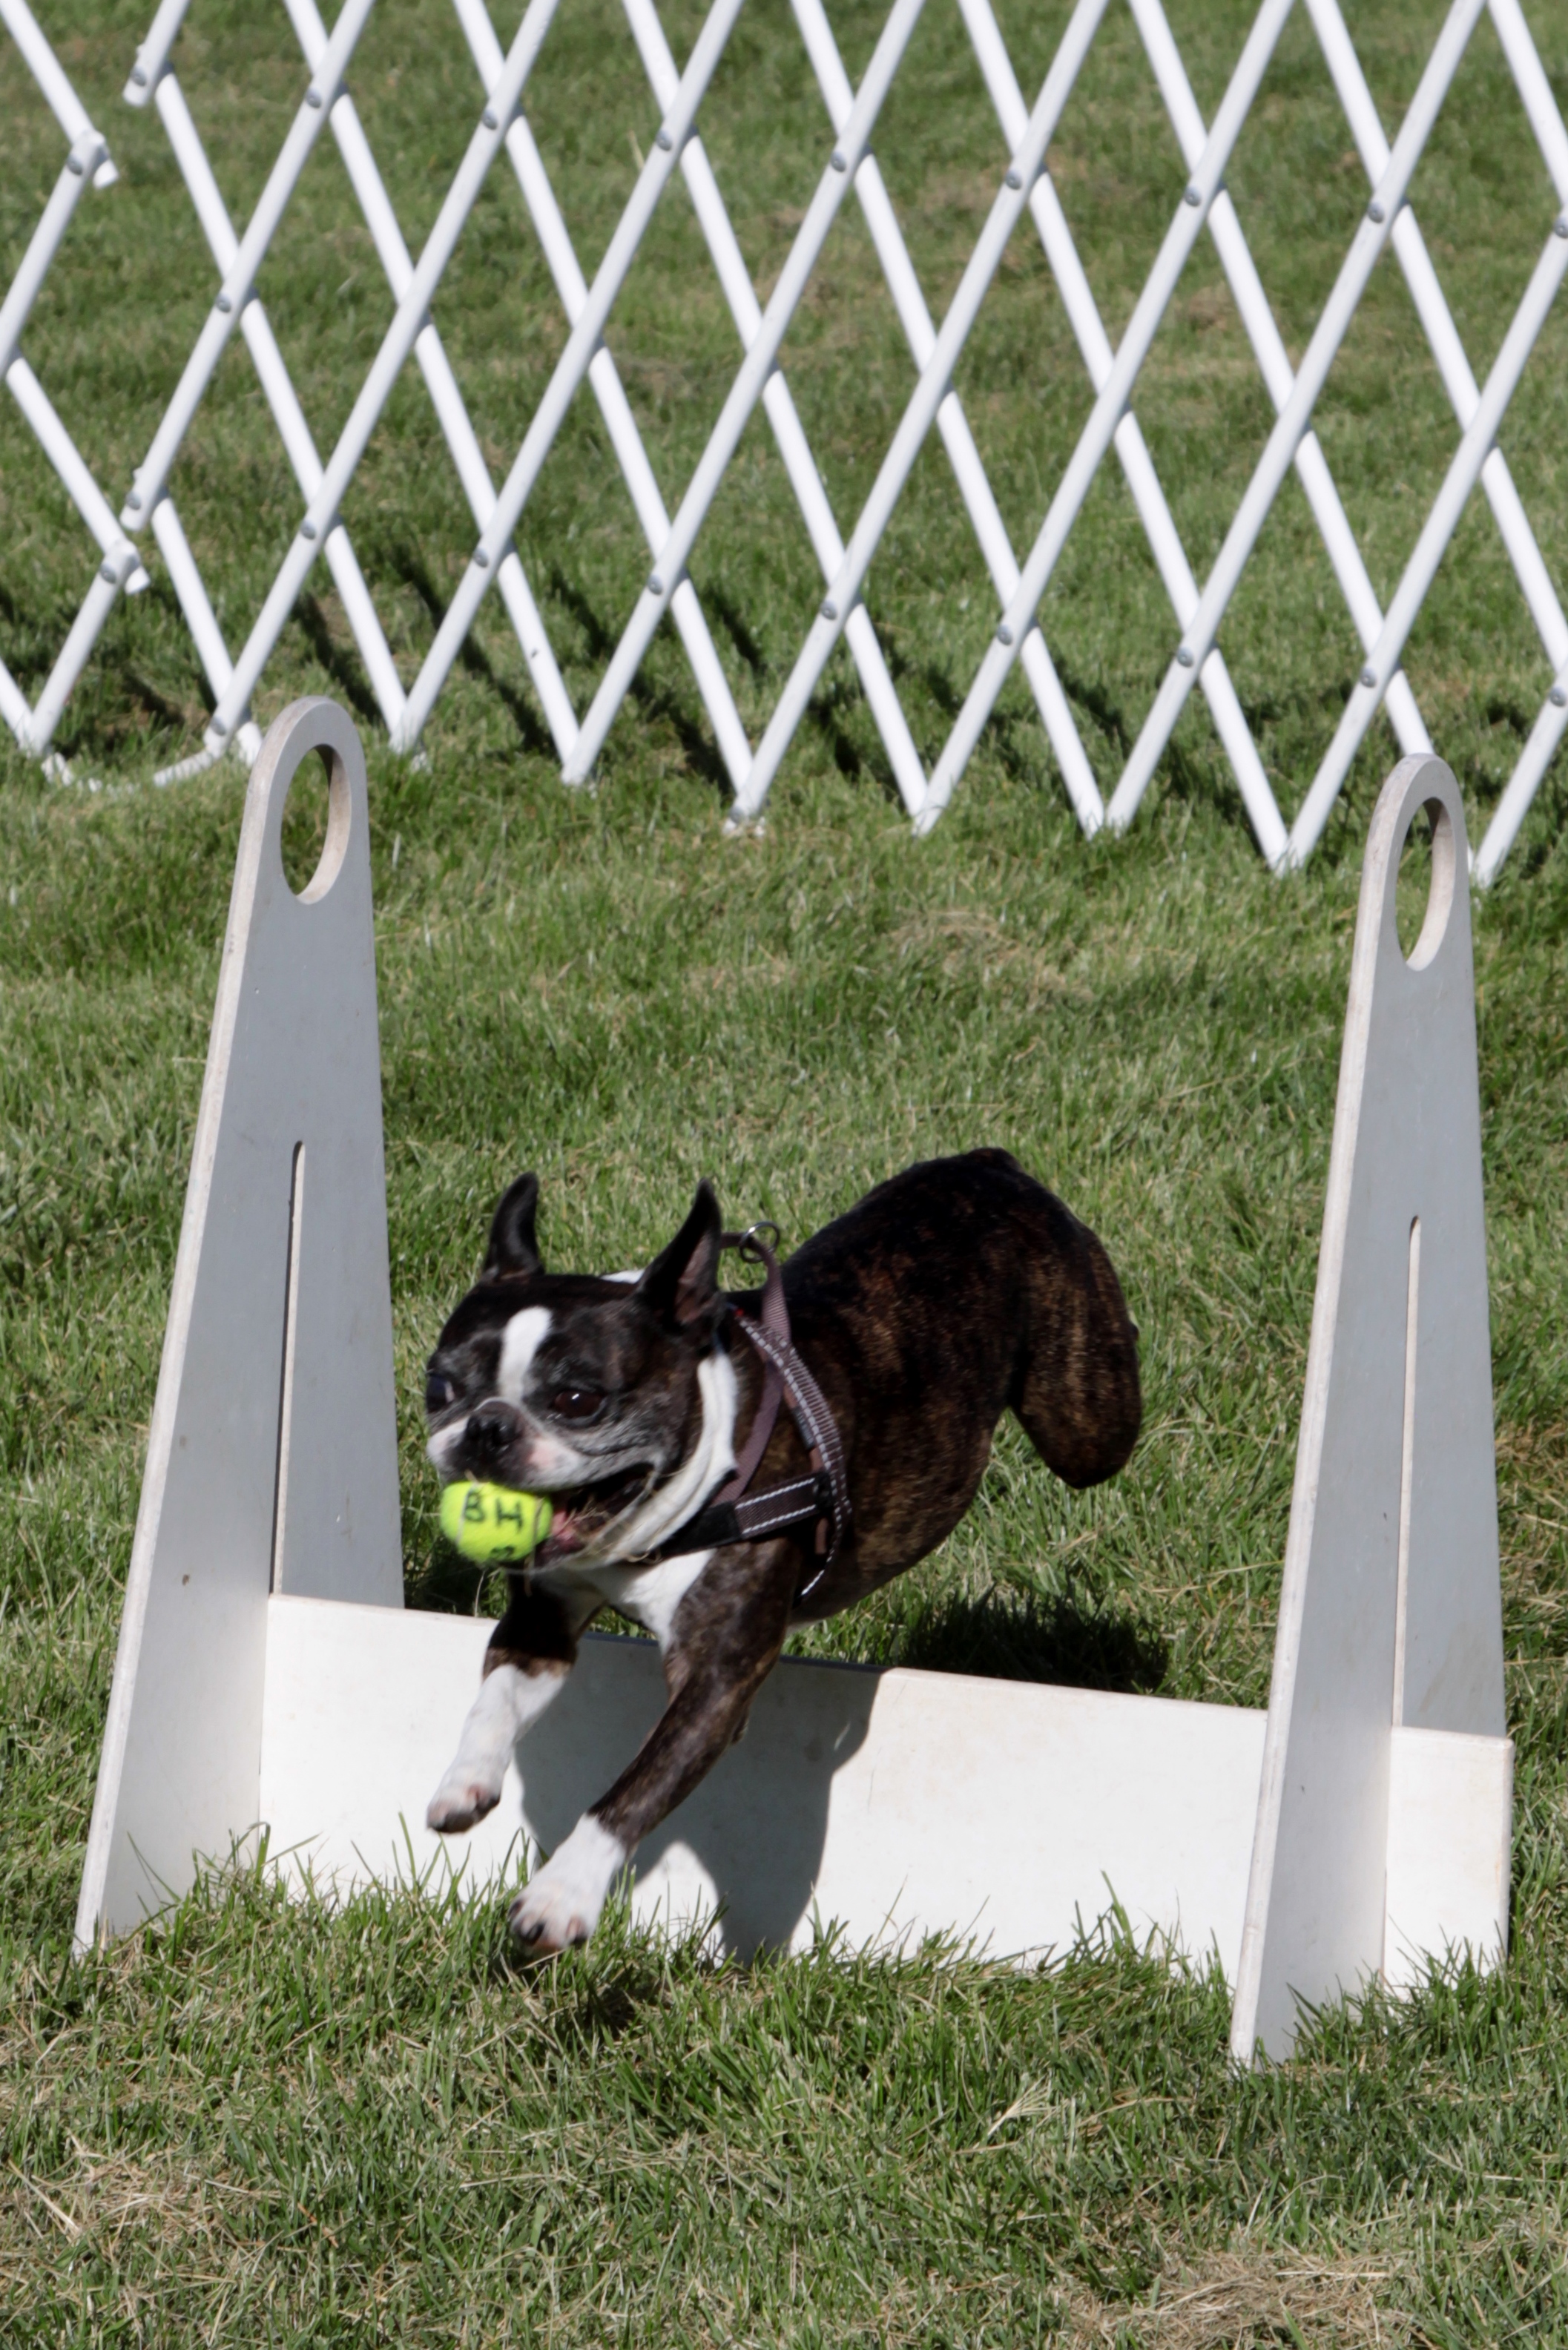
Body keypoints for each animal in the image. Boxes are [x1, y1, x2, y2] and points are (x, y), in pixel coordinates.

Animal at [425, 1146, 1142, 1955]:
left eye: (578, 1400)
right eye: (439, 1386)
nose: (486, 1427)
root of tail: (990, 1164)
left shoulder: (714, 1684)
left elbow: (632, 1791)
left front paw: (561, 1894)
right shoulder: (542, 1625)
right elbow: (493, 1699)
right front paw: (463, 1783)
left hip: (1085, 1423)